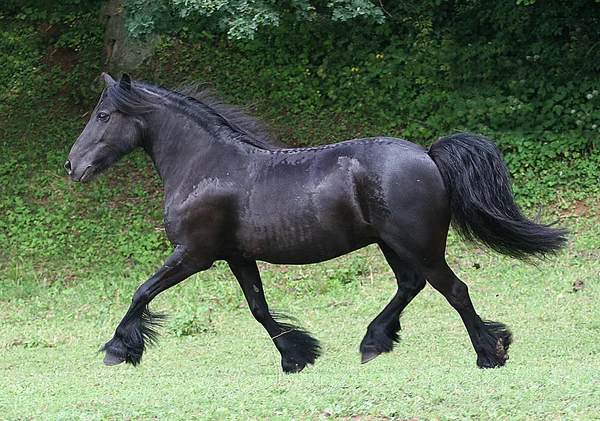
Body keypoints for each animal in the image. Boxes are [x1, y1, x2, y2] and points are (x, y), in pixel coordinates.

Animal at [65, 74, 568, 372]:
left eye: (104, 115)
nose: (73, 166)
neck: (207, 165)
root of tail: (428, 155)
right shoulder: (236, 256)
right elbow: (259, 309)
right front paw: (297, 356)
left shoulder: (194, 255)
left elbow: (142, 292)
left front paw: (118, 349)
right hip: (391, 244)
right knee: (411, 285)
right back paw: (374, 342)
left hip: (418, 244)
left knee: (454, 290)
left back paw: (489, 353)